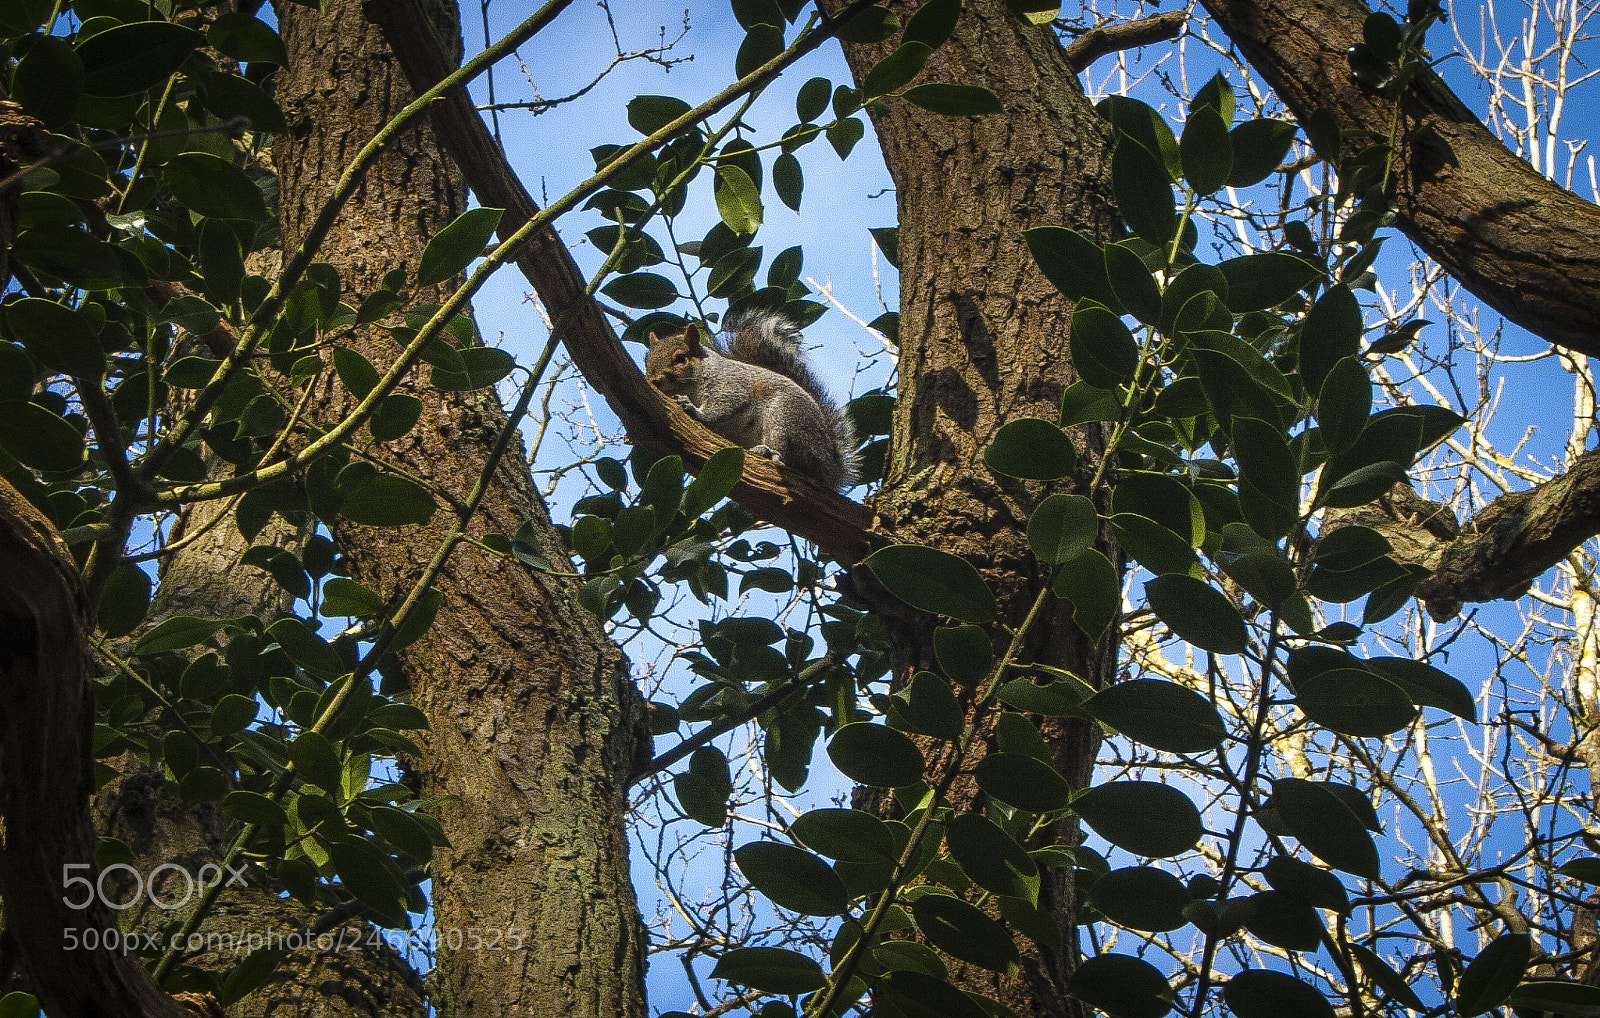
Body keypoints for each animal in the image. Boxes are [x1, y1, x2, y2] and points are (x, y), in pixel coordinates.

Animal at [644, 309, 858, 491]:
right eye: (646, 359)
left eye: (681, 358)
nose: (653, 380)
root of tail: (832, 469)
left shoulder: (730, 384)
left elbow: (721, 406)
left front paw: (695, 410)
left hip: (786, 418)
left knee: (791, 459)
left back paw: (769, 453)